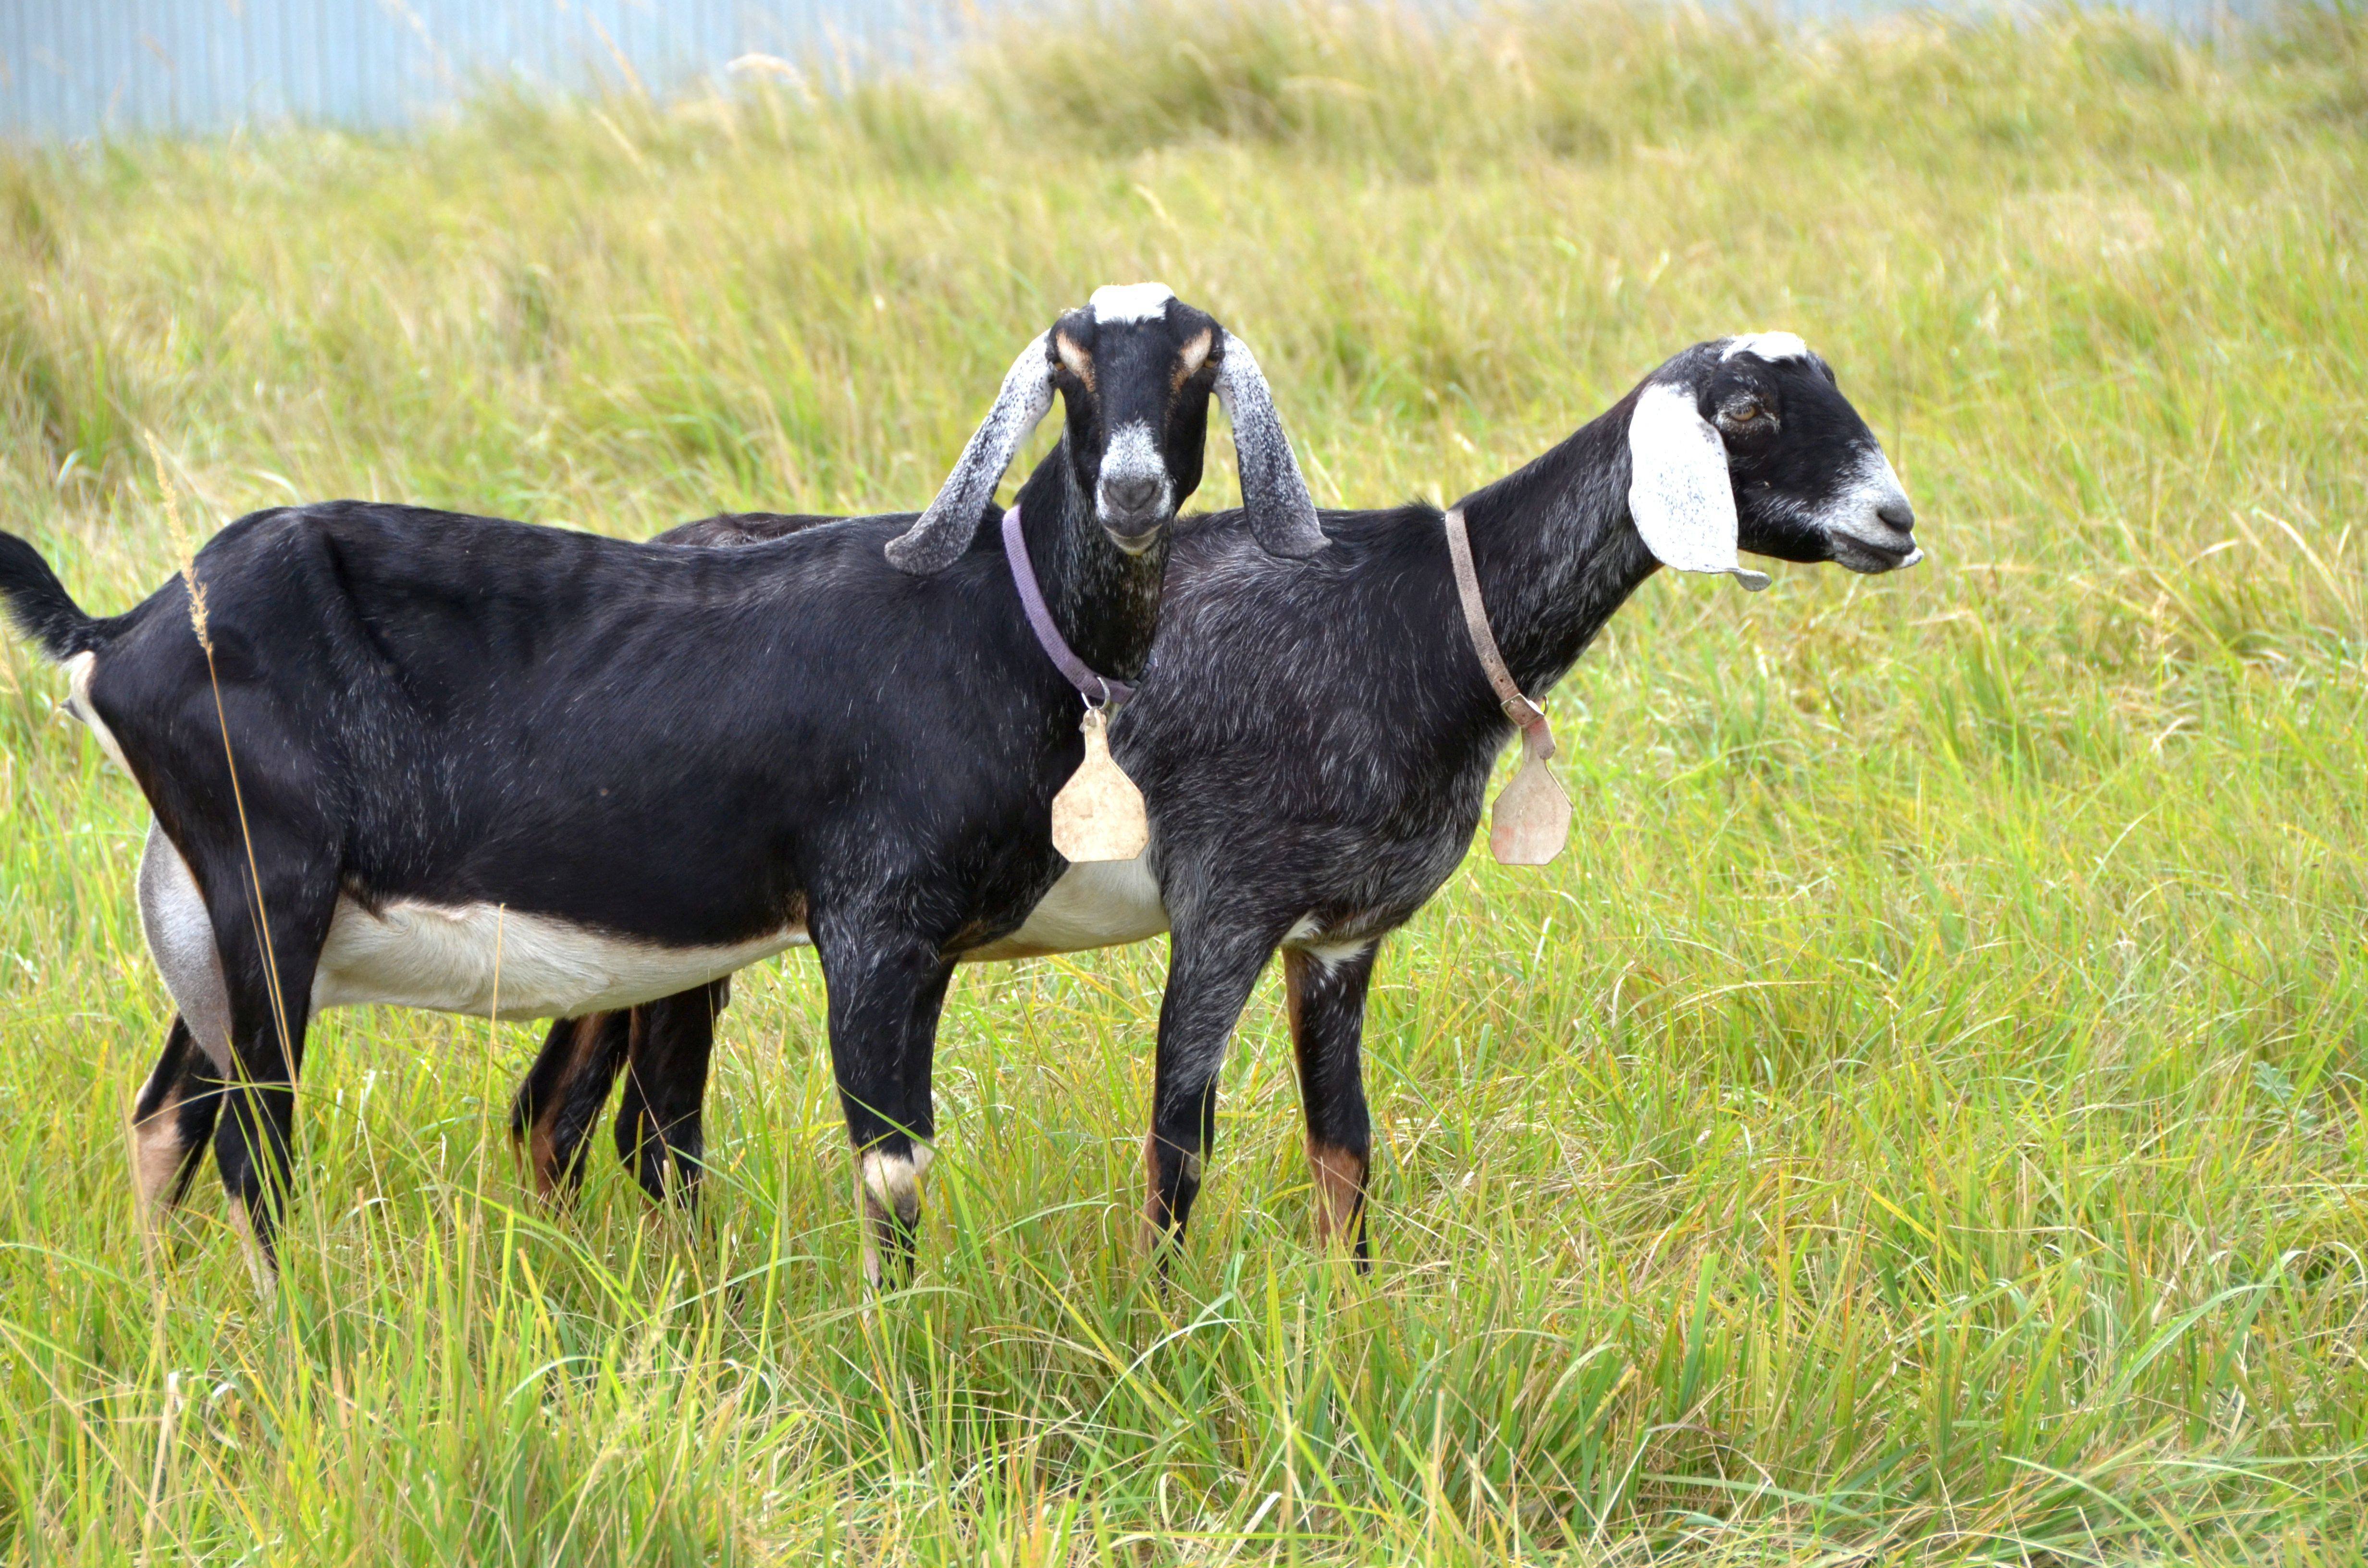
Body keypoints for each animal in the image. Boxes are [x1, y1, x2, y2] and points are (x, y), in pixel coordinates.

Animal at [0, 284, 1326, 1287]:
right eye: (1070, 362)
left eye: (1198, 360)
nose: (1132, 492)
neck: (995, 618)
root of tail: (126, 630)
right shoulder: (872, 924)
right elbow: (891, 1169)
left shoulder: (928, 948)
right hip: (269, 890)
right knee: (253, 1145)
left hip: (215, 918)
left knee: (166, 1117)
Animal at [508, 333, 1921, 1268]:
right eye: (1747, 409)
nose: (1896, 522)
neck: (1415, 618)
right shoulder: (1227, 900)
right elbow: (1177, 1149)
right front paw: (1163, 1334)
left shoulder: (1339, 935)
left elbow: (1345, 1150)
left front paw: (1354, 1317)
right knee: (648, 1126)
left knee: (562, 1117)